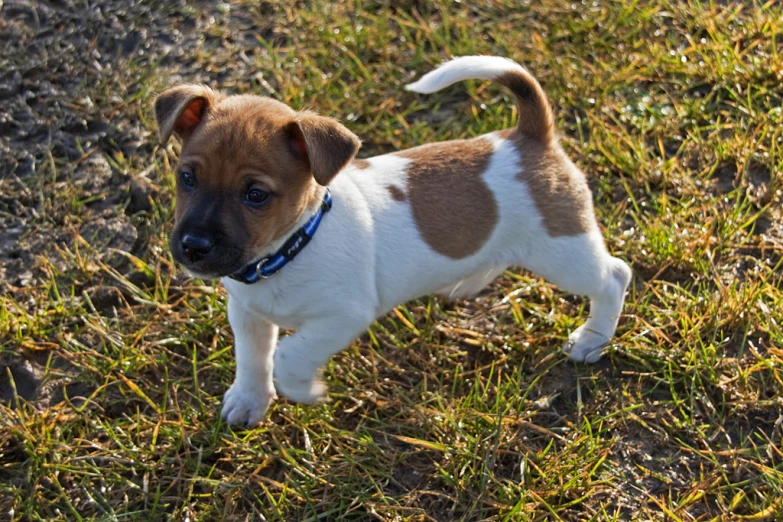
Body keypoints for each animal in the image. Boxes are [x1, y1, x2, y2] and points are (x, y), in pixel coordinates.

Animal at [156, 55, 632, 422]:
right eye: (187, 178)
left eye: (256, 195)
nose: (193, 247)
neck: (289, 252)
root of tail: (529, 137)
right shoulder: (248, 314)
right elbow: (252, 359)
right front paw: (249, 401)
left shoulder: (342, 316)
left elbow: (289, 354)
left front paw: (305, 390)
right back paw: (467, 281)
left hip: (563, 252)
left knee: (614, 276)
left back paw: (592, 339)